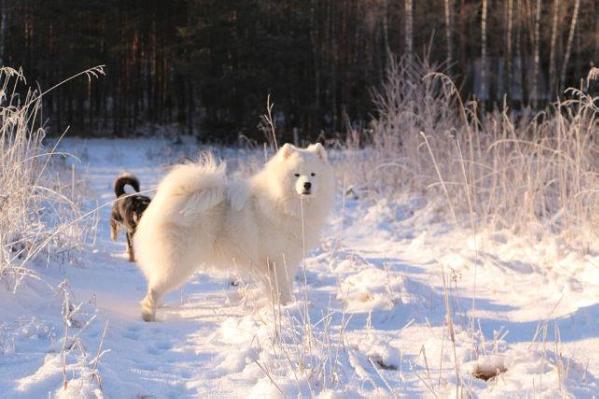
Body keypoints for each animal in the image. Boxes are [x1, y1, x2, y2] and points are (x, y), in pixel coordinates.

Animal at [133, 144, 336, 322]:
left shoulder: (286, 262)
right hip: (180, 263)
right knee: (154, 290)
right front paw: (286, 308)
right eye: (296, 175)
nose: (307, 185)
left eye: (313, 174)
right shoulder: (277, 261)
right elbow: (282, 289)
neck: (285, 203)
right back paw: (149, 316)